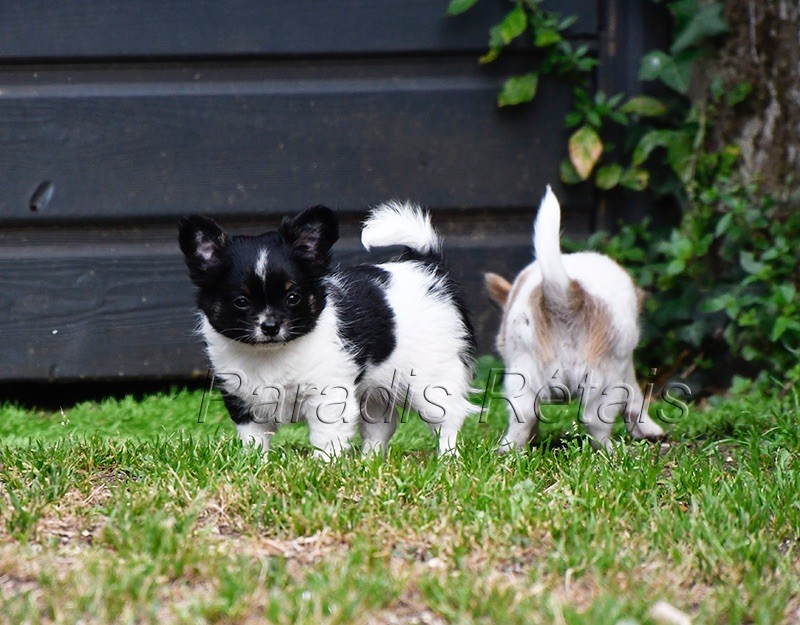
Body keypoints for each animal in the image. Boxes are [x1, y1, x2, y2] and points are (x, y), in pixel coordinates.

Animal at [179, 203, 475, 459]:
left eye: (293, 298)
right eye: (241, 302)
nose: (270, 326)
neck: (270, 355)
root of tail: (427, 268)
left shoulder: (328, 394)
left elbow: (325, 437)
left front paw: (324, 465)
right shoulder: (241, 399)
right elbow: (253, 439)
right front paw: (255, 465)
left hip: (431, 383)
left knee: (448, 421)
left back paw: (447, 459)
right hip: (377, 392)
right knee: (379, 429)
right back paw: (369, 462)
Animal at [484, 186, 666, 451]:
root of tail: (566, 294)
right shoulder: (626, 369)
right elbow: (636, 397)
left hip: (522, 375)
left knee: (523, 418)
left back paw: (510, 450)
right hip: (605, 380)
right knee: (595, 422)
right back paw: (612, 452)